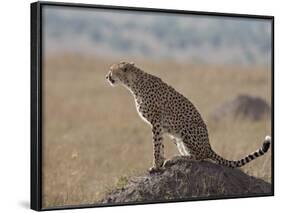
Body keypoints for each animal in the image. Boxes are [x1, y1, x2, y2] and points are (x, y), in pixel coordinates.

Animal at [104, 61, 270, 173]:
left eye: (111, 70)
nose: (106, 77)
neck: (133, 84)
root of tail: (209, 146)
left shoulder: (156, 122)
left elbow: (156, 146)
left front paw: (155, 166)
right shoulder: (160, 126)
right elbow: (160, 146)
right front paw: (159, 164)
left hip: (186, 129)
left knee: (199, 157)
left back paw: (176, 158)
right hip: (175, 137)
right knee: (199, 156)